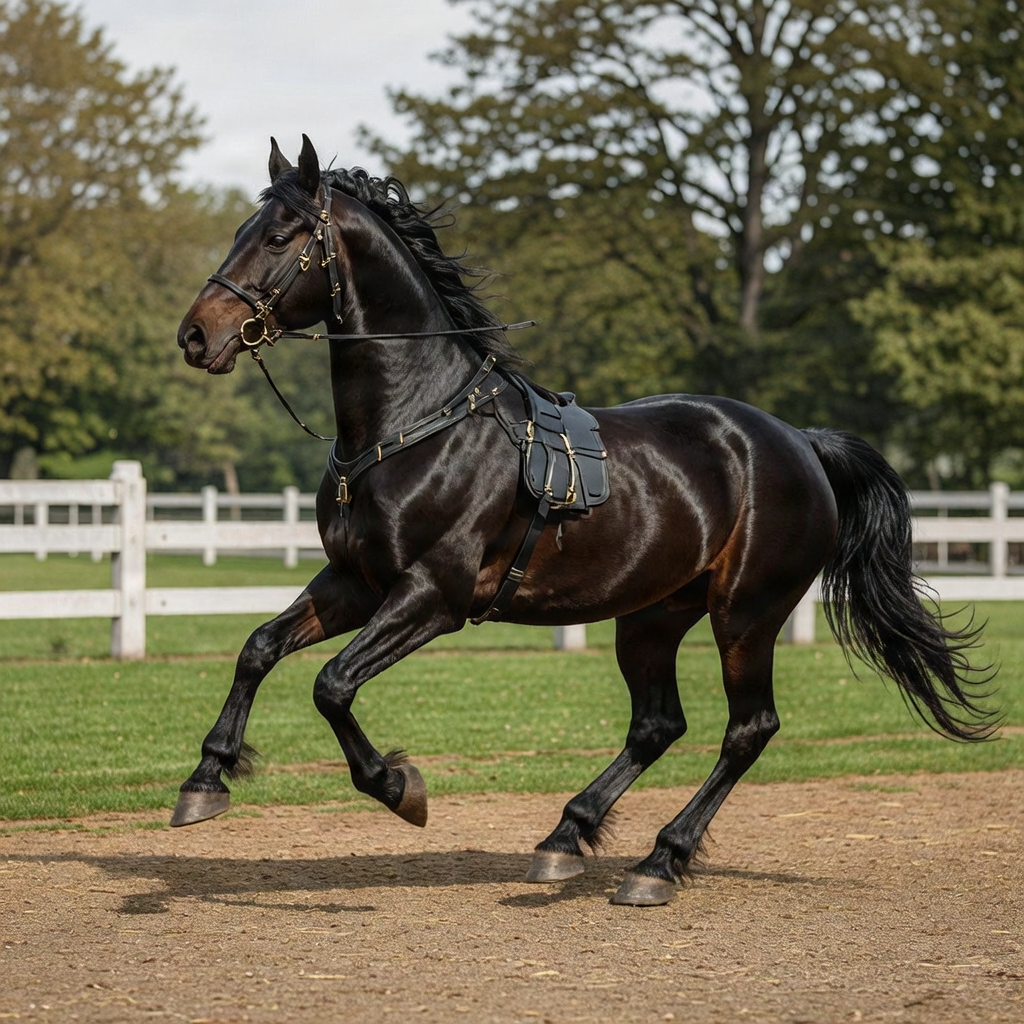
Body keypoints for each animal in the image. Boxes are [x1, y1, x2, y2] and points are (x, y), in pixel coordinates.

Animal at [174, 135, 995, 906]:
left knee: (748, 729)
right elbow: (258, 648)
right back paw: (568, 835)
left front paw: (399, 786)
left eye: (280, 235)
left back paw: (659, 861)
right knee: (659, 725)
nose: (195, 335)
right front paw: (206, 780)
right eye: (242, 228)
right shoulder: (354, 583)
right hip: (652, 616)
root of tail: (799, 441)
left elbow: (332, 685)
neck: (415, 424)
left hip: (745, 615)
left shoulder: (432, 597)